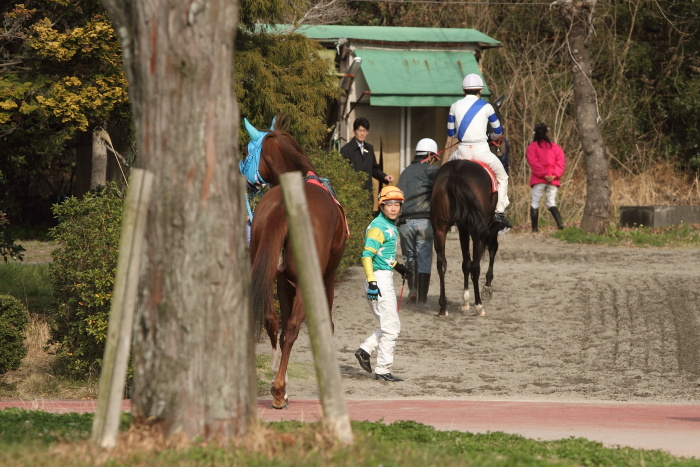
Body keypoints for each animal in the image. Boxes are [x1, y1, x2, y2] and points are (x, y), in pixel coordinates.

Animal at [241, 117, 348, 410]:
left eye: (245, 152)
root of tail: (282, 207)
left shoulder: (281, 280)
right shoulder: (327, 279)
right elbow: (326, 326)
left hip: (267, 274)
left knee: (273, 321)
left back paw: (278, 387)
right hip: (306, 282)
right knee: (291, 328)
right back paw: (279, 391)